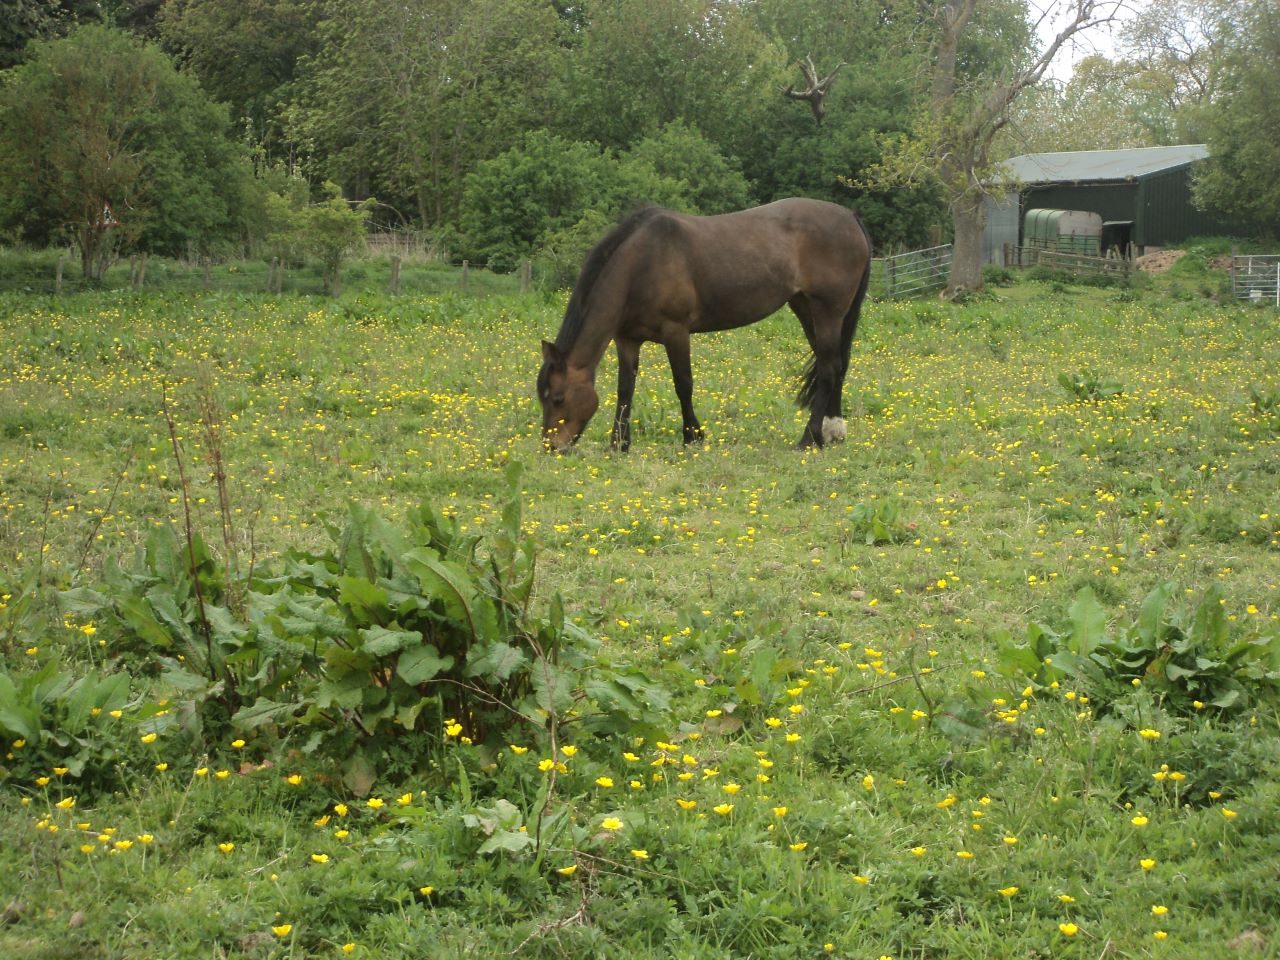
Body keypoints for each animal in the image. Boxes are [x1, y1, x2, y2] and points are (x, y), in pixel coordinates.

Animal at [529, 199, 870, 455]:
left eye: (558, 398)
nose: (553, 447)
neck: (642, 264)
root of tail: (850, 217)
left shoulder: (676, 331)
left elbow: (683, 384)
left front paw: (692, 436)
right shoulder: (627, 339)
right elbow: (625, 389)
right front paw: (619, 444)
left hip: (828, 311)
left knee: (828, 370)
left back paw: (809, 438)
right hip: (804, 307)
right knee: (834, 365)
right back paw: (832, 431)